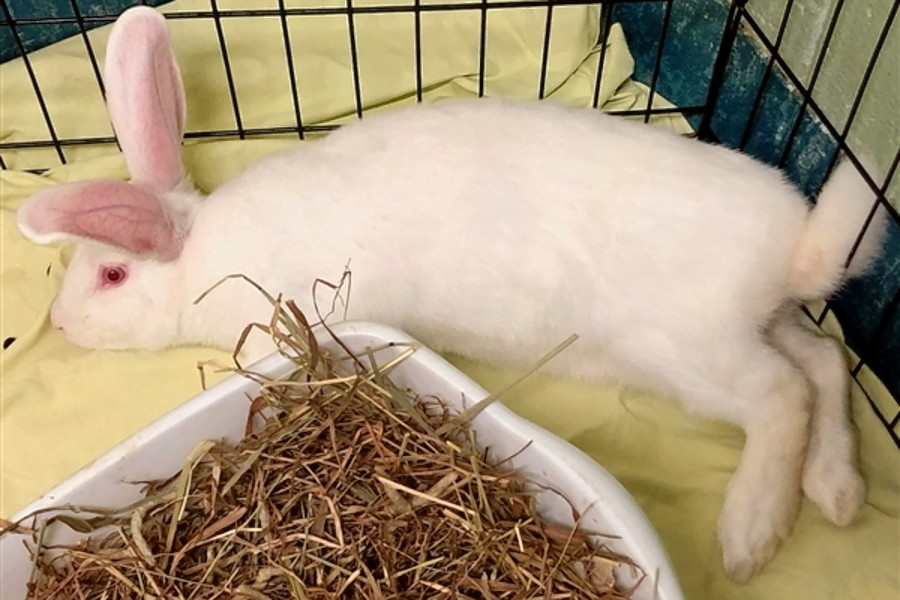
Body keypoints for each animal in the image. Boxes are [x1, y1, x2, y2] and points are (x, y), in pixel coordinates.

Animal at [16, 5, 886, 583]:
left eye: (111, 276)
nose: (59, 319)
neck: (200, 256)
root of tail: (793, 253)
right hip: (759, 327)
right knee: (822, 363)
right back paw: (837, 491)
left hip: (688, 351)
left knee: (782, 393)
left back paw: (751, 535)